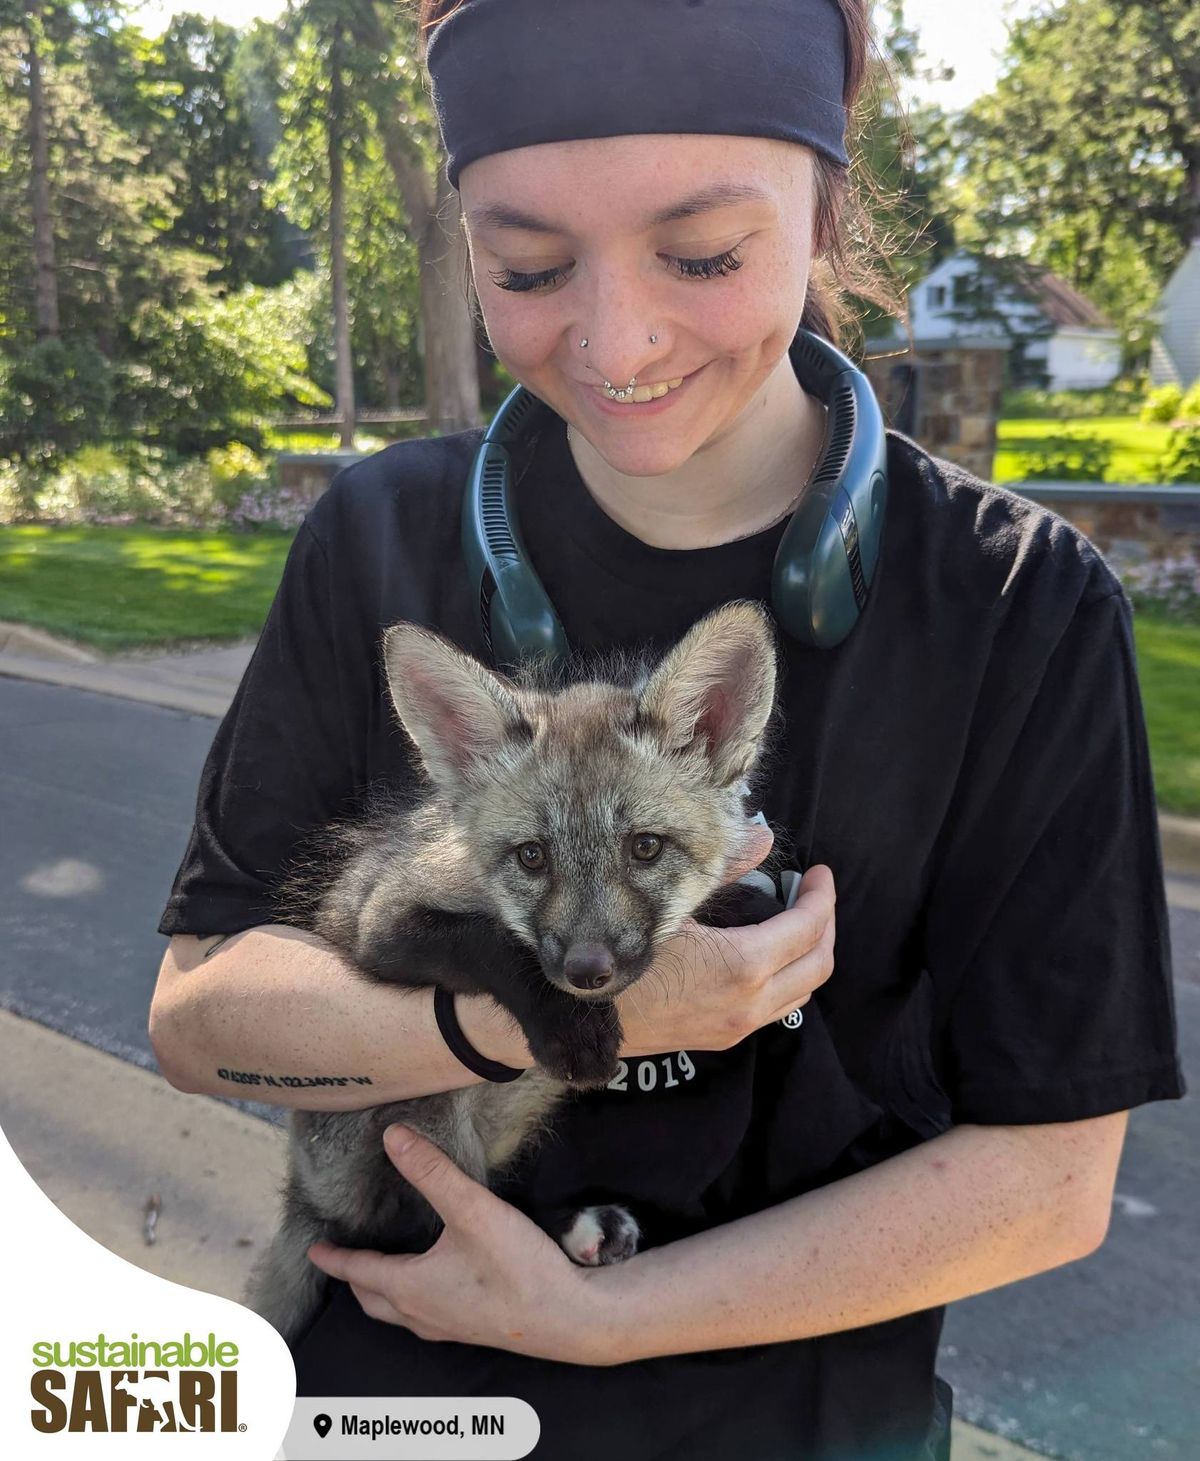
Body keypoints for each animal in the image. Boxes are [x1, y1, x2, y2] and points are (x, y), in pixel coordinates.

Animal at [248, 599, 783, 1338]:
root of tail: (305, 1195)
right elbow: (493, 944)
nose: (587, 971)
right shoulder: (381, 922)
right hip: (417, 1118)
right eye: (532, 857)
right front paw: (571, 1027)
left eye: (645, 848)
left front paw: (741, 900)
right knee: (413, 1230)